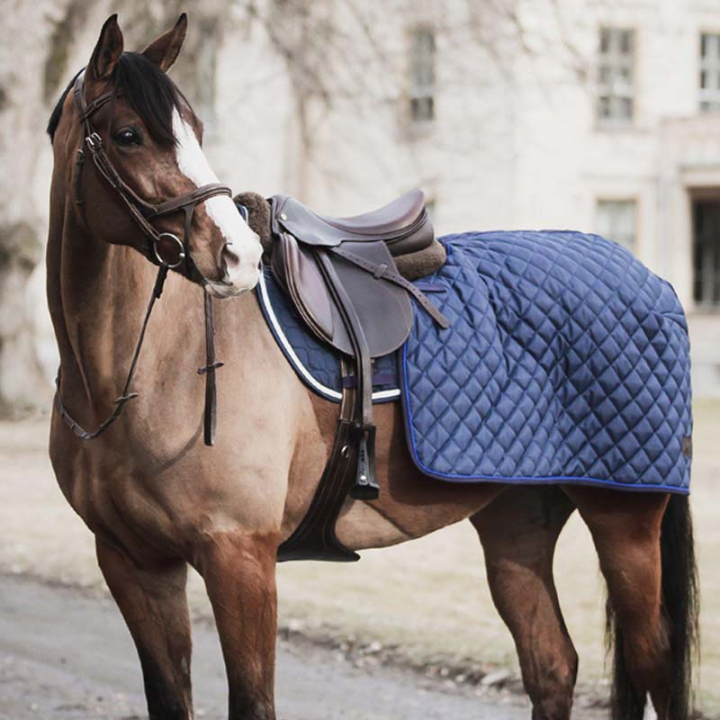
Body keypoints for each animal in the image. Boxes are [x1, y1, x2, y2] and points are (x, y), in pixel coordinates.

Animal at [45, 14, 698, 720]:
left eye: (194, 129)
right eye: (128, 135)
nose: (237, 255)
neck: (147, 371)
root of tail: (650, 280)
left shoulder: (238, 557)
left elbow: (253, 699)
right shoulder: (134, 564)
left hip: (626, 521)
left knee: (653, 662)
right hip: (518, 522)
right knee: (552, 665)